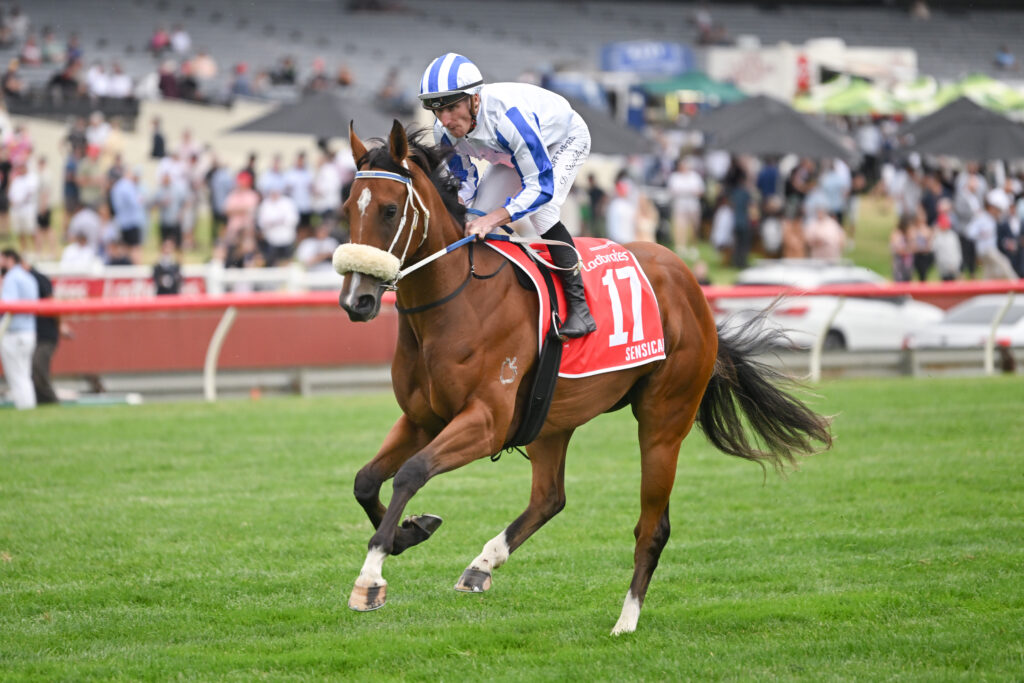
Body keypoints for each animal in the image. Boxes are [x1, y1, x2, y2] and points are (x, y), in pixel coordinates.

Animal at [334, 121, 832, 635]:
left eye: (390, 210)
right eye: (348, 208)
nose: (357, 301)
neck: (455, 304)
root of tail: (691, 285)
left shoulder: (485, 421)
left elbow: (411, 473)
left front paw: (371, 577)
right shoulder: (421, 419)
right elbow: (366, 480)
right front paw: (408, 532)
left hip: (664, 420)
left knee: (652, 527)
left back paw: (626, 621)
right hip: (551, 419)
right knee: (549, 497)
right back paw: (482, 565)